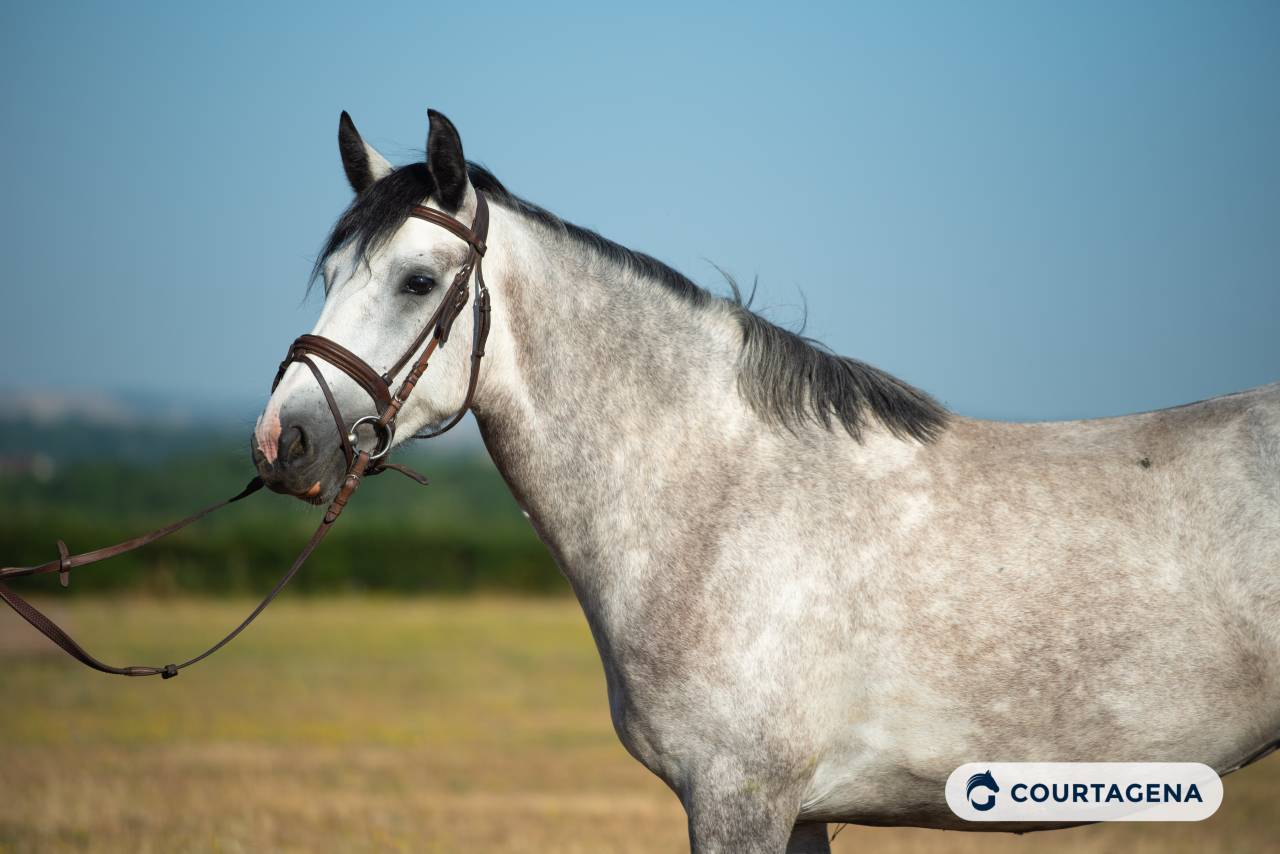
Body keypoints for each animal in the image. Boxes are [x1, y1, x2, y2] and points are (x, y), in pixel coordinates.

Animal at [252, 109, 1280, 853]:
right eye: (330, 274)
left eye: (419, 282)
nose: (282, 441)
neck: (716, 504)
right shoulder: (798, 812)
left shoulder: (739, 799)